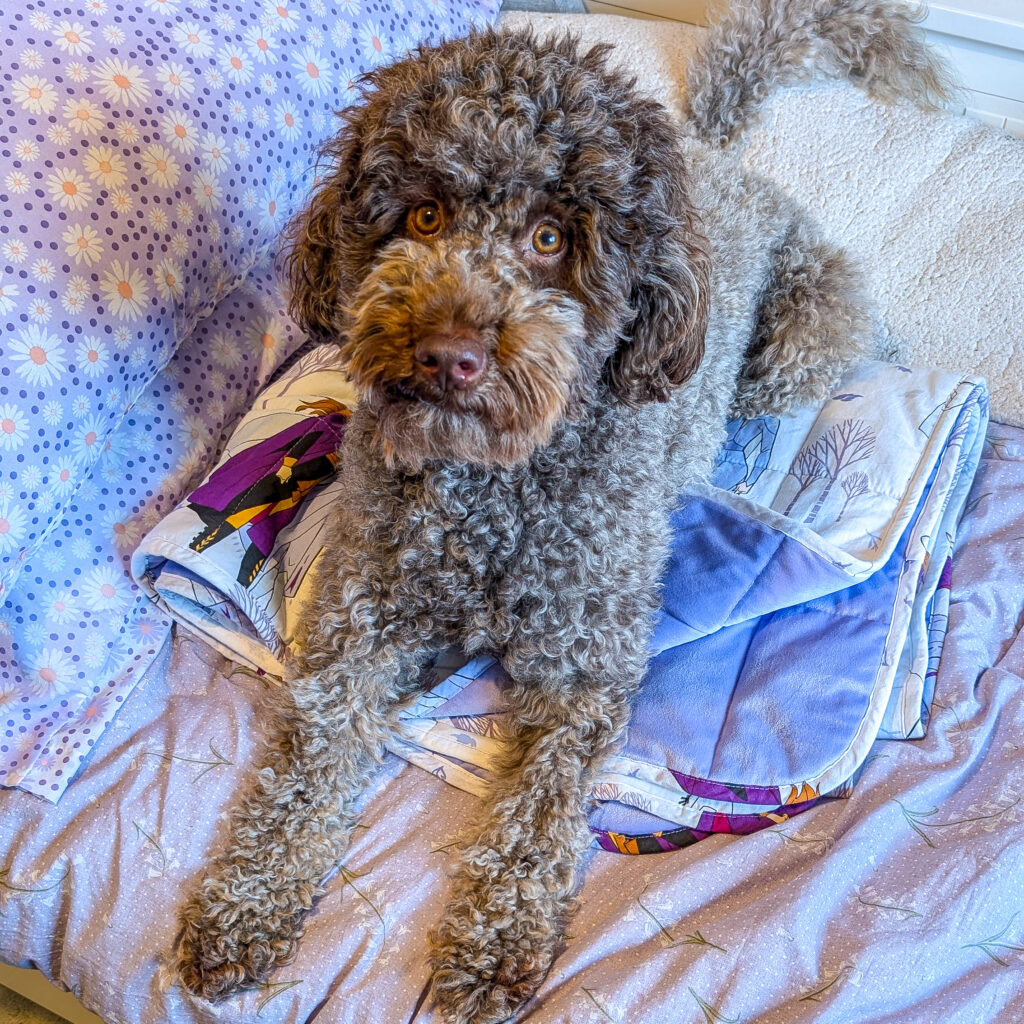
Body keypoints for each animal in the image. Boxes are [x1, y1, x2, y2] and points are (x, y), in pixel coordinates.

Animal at [176, 4, 950, 1019]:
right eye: (424, 215)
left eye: (550, 240)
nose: (448, 353)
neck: (492, 484)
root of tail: (712, 159)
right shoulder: (359, 627)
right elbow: (306, 761)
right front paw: (245, 899)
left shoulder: (582, 671)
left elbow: (539, 806)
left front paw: (495, 939)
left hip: (800, 340)